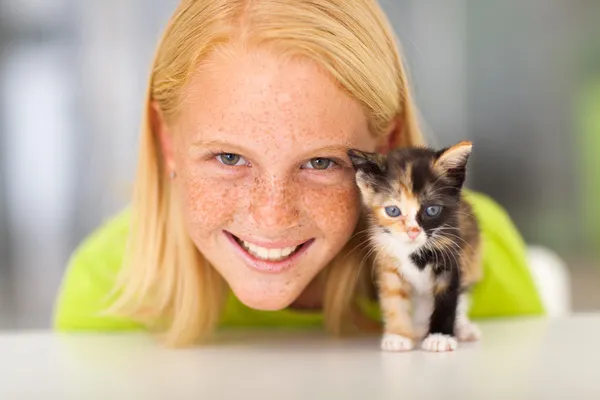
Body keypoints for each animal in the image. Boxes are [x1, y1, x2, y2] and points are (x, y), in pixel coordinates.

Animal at [346, 141, 482, 354]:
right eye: (393, 211)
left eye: (432, 210)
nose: (413, 232)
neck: (414, 250)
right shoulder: (388, 261)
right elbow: (394, 297)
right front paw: (398, 336)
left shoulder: (452, 255)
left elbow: (448, 297)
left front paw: (439, 337)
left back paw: (462, 328)